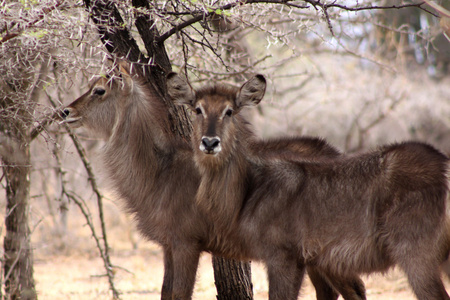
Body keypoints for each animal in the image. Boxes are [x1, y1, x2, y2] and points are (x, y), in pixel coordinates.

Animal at [60, 62, 366, 298]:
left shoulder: (186, 243)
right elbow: (165, 293)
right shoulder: (168, 246)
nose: (65, 112)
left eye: (99, 90)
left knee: (355, 289)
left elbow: (179, 294)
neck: (160, 170)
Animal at [168, 72, 450, 300]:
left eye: (229, 111)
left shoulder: (283, 257)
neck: (250, 188)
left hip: (416, 255)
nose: (210, 142)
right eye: (197, 109)